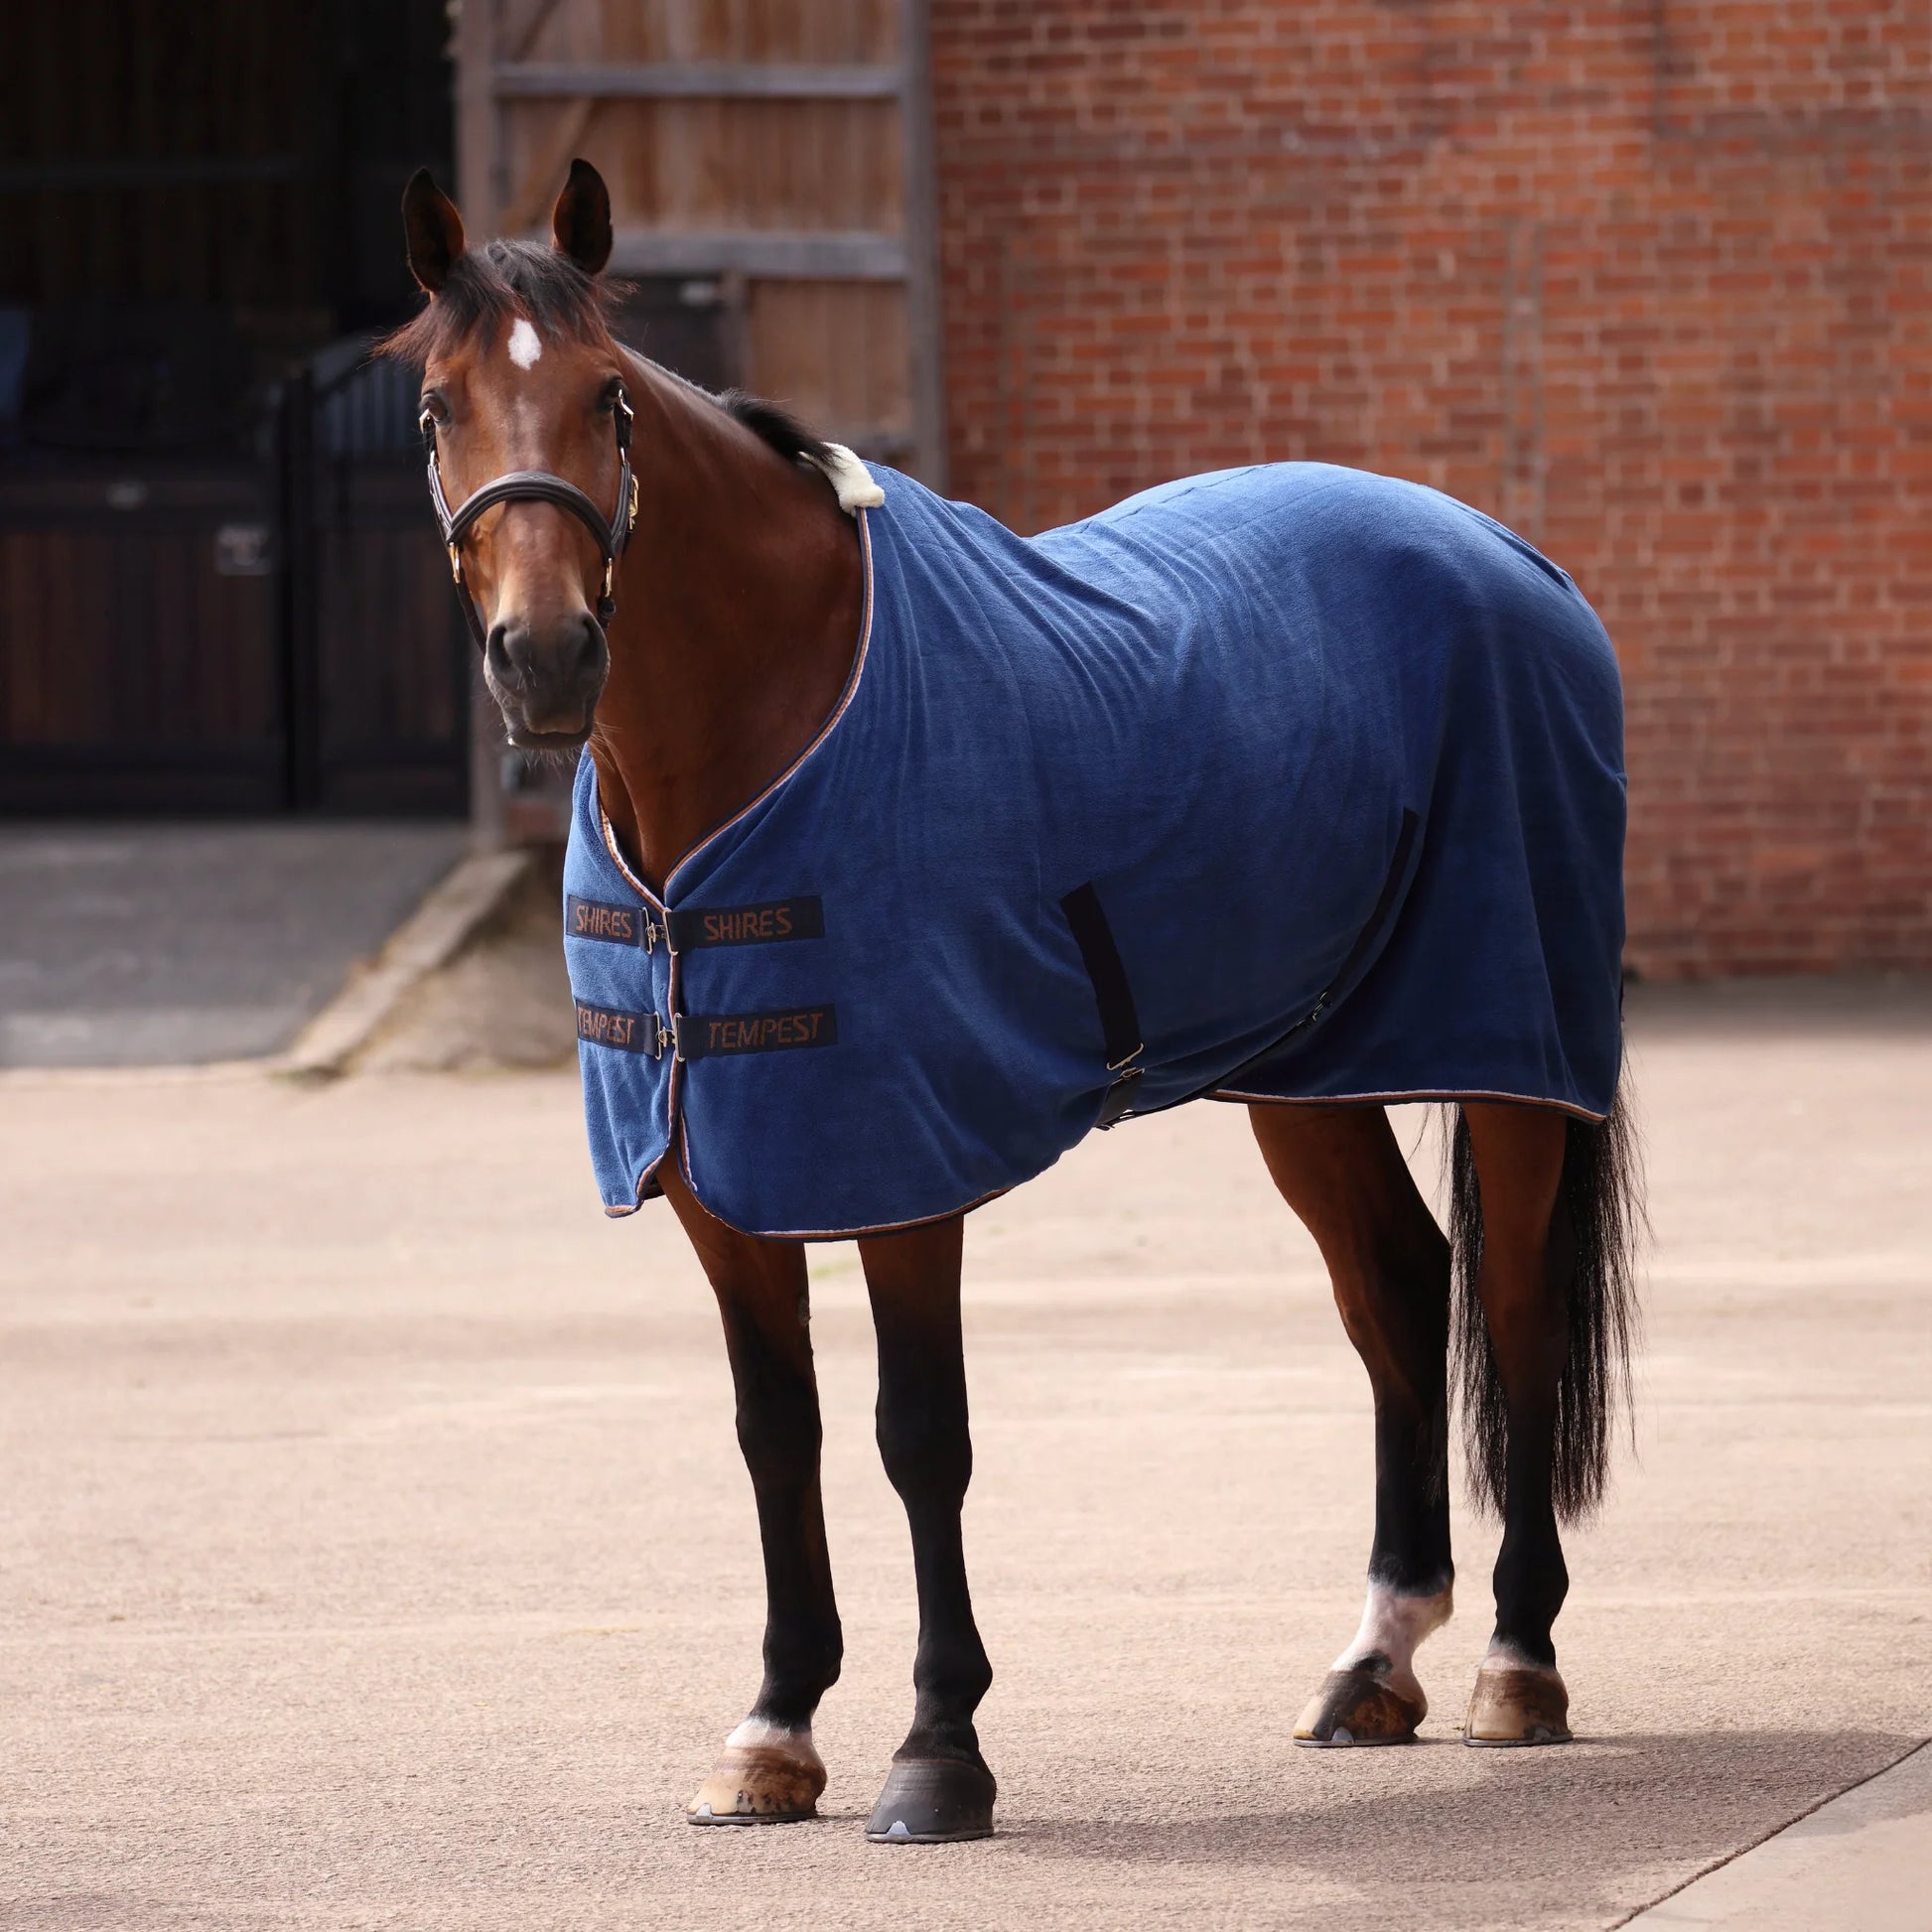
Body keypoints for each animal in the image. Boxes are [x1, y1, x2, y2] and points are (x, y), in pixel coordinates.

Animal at [383, 159, 1642, 1844]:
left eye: (608, 399)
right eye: (436, 406)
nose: (543, 657)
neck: (770, 706)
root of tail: (1512, 557)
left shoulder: (902, 1164)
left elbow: (920, 1436)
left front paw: (937, 1750)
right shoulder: (716, 1168)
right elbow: (773, 1432)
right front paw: (773, 1730)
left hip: (1507, 1047)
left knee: (1505, 1303)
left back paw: (1516, 1657)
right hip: (1304, 1072)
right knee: (1395, 1289)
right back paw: (1376, 1657)